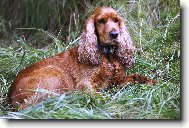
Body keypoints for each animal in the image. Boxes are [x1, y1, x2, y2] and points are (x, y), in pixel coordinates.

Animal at [8, 6, 155, 109]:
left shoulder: (117, 80)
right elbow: (97, 94)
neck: (107, 55)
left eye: (116, 20)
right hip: (56, 74)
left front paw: (151, 81)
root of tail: (11, 97)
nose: (115, 34)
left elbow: (136, 76)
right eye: (101, 21)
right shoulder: (85, 83)